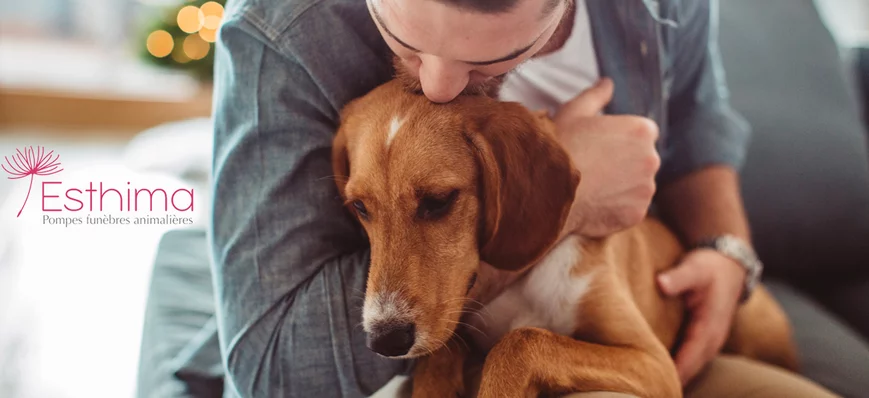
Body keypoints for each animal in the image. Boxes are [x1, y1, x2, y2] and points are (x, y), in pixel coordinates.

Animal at [332, 79, 800, 396]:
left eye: (438, 201)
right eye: (359, 207)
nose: (384, 340)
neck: (524, 281)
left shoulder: (654, 363)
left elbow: (522, 341)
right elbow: (441, 355)